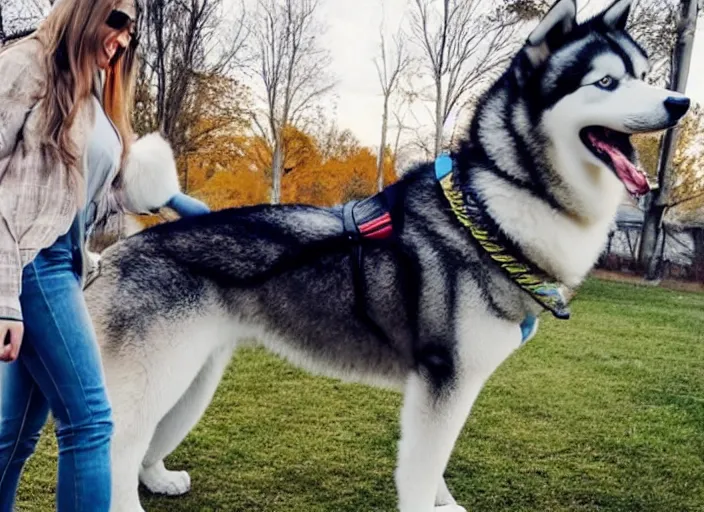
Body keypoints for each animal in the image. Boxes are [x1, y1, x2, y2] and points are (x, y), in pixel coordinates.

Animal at [85, 2, 692, 510]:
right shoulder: (444, 380)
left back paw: (159, 478)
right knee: (113, 453)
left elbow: (438, 467)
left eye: (645, 75)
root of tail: (123, 246)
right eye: (606, 82)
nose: (680, 101)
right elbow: (421, 475)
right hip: (159, 372)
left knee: (146, 443)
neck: (492, 208)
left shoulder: (451, 388)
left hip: (194, 375)